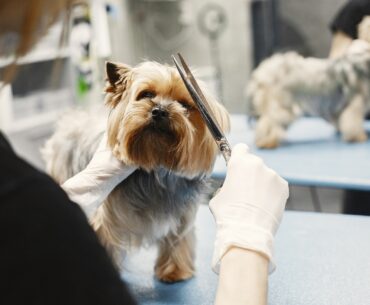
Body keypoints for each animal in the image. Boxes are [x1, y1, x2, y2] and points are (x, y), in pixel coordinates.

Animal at [42, 60, 228, 282]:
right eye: (146, 94)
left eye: (184, 105)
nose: (159, 111)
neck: (155, 168)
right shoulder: (105, 217)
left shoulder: (181, 212)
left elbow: (177, 238)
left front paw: (175, 271)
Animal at [246, 16, 370, 148]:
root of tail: (263, 72)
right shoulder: (355, 105)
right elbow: (353, 123)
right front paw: (359, 137)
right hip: (282, 107)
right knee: (269, 122)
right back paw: (268, 142)